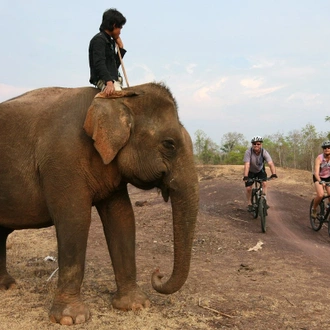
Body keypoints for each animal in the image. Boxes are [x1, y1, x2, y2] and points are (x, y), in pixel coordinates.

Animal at [0, 82, 199, 324]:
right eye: (169, 144)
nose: (157, 273)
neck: (119, 99)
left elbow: (122, 218)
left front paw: (135, 306)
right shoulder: (63, 160)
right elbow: (75, 219)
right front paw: (71, 319)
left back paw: (7, 287)